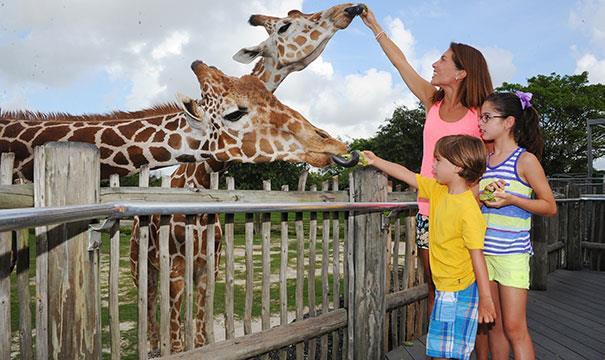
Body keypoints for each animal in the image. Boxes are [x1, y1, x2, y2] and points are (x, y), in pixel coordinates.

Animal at [130, 2, 366, 352]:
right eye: (284, 26)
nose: (350, 9)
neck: (201, 177)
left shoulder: (208, 267)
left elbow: (199, 335)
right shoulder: (176, 268)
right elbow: (179, 340)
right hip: (141, 265)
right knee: (149, 309)